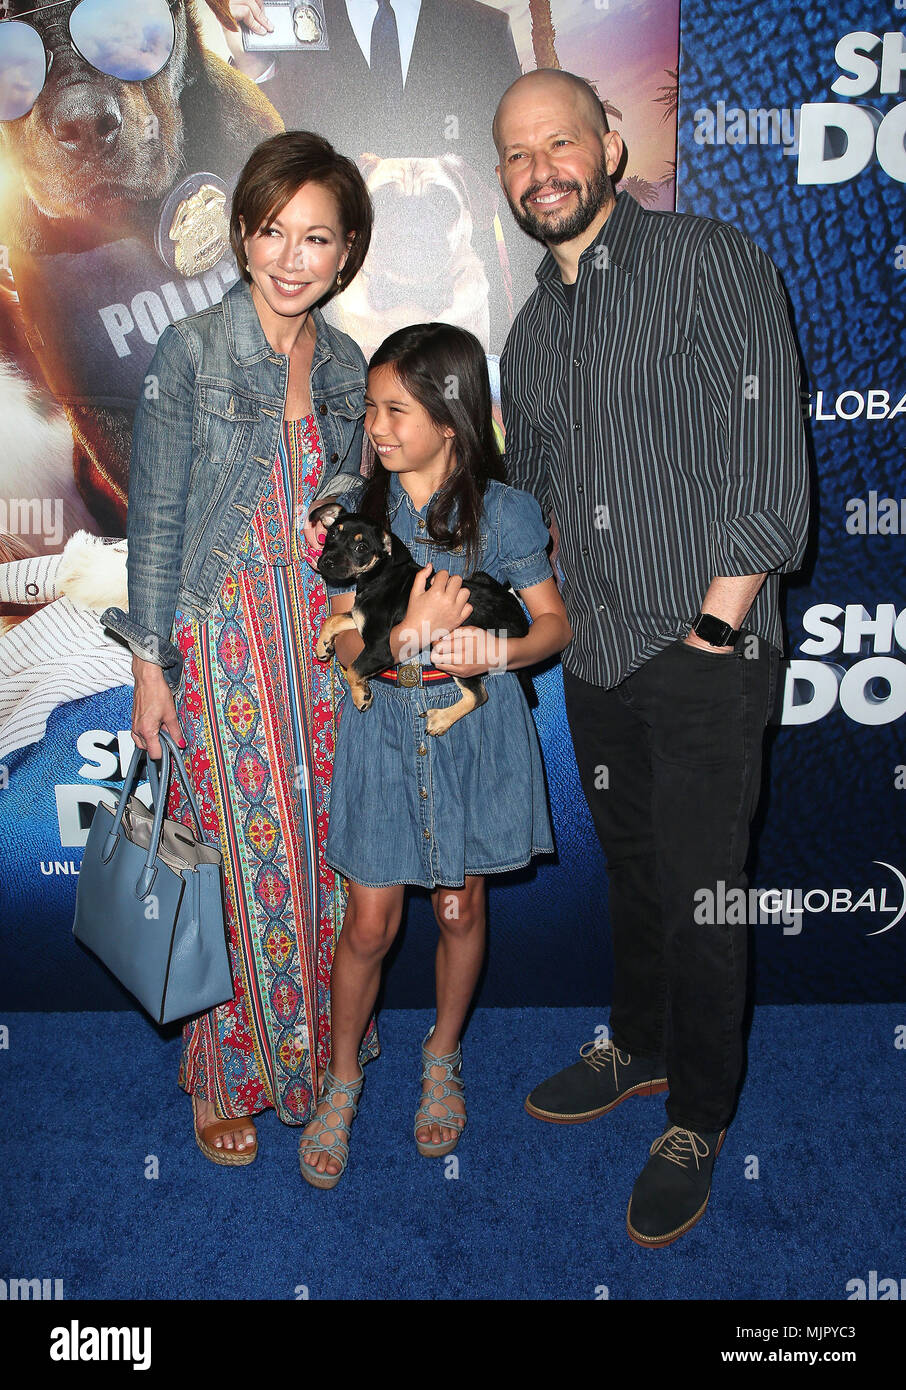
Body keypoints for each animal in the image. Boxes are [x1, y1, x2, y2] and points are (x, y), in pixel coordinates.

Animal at [309, 503, 528, 739]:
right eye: (332, 533)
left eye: (361, 548)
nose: (326, 562)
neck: (377, 574)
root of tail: (522, 623)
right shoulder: (360, 618)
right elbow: (334, 619)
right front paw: (323, 645)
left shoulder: (379, 649)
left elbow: (353, 669)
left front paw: (361, 696)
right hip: (480, 578)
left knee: (479, 694)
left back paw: (440, 720)